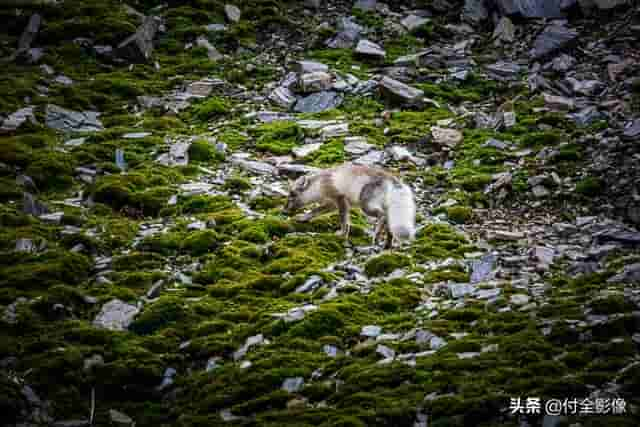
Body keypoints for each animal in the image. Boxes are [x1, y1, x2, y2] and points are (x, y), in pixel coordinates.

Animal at [284, 162, 416, 249]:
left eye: (292, 195)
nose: (283, 211)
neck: (319, 185)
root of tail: (390, 178)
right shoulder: (332, 203)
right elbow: (315, 211)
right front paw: (303, 218)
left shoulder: (340, 199)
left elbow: (344, 220)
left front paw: (342, 233)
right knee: (389, 226)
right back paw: (387, 244)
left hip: (365, 205)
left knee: (382, 216)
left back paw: (377, 236)